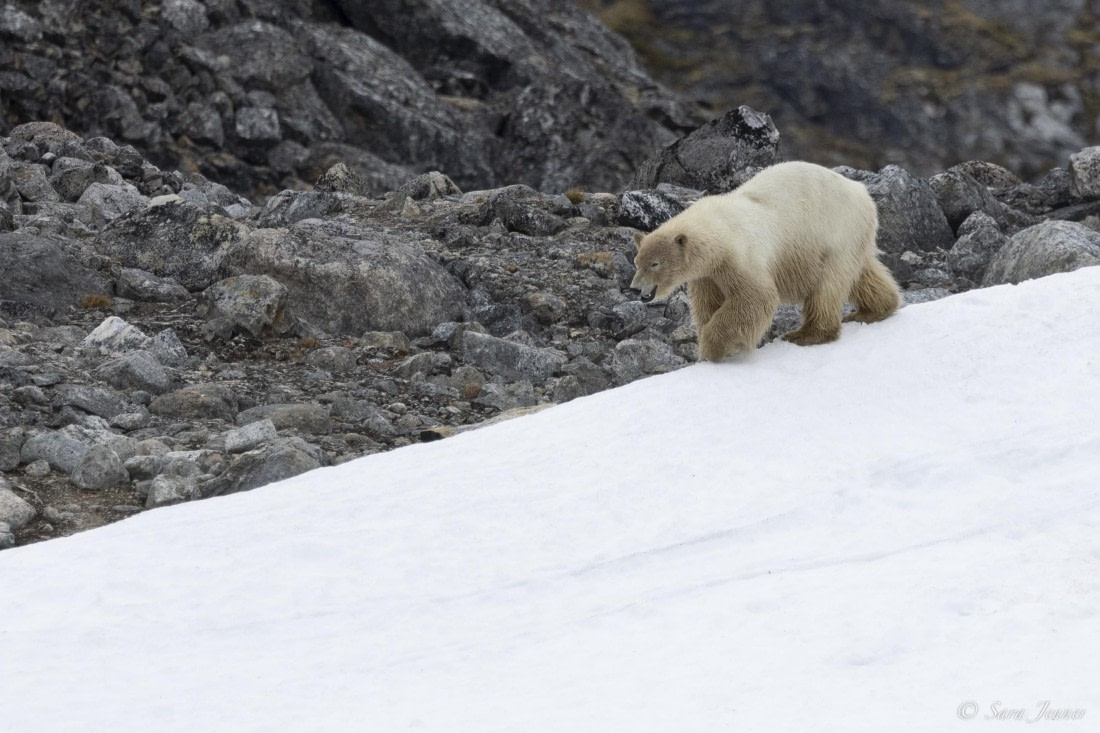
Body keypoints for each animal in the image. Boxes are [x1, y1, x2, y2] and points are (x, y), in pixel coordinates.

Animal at [630, 161, 901, 362]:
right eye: (637, 262)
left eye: (654, 264)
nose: (634, 288)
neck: (717, 229)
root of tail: (862, 191)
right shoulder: (707, 273)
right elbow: (709, 303)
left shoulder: (740, 254)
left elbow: (756, 296)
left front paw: (716, 347)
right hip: (851, 238)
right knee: (863, 274)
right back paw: (875, 309)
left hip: (836, 232)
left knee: (827, 286)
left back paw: (806, 334)